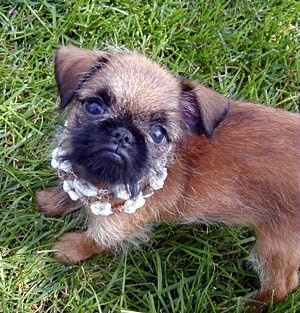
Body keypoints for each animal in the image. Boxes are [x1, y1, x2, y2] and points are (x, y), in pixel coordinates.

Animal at [35, 45, 300, 310]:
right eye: (94, 107)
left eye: (158, 134)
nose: (122, 134)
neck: (103, 181)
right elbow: (72, 193)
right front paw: (52, 201)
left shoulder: (119, 226)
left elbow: (95, 240)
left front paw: (70, 250)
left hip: (275, 247)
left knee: (281, 285)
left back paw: (247, 305)